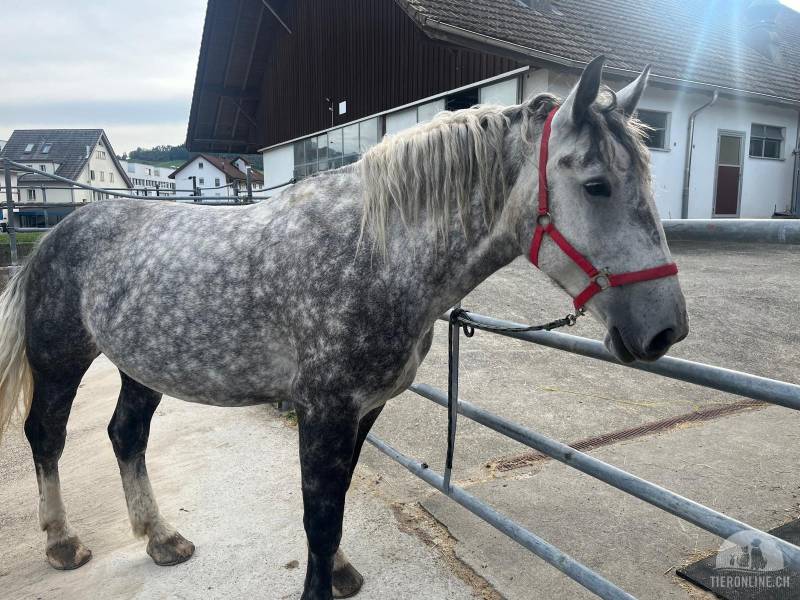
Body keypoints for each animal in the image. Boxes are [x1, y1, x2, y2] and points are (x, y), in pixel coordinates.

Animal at [0, 56, 687, 600]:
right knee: (47, 437)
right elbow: (320, 516)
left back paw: (161, 537)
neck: (374, 253)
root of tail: (55, 235)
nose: (666, 331)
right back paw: (62, 542)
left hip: (143, 365)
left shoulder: (365, 408)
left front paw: (336, 572)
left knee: (126, 435)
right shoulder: (324, 408)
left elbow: (338, 502)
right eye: (596, 185)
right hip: (61, 360)